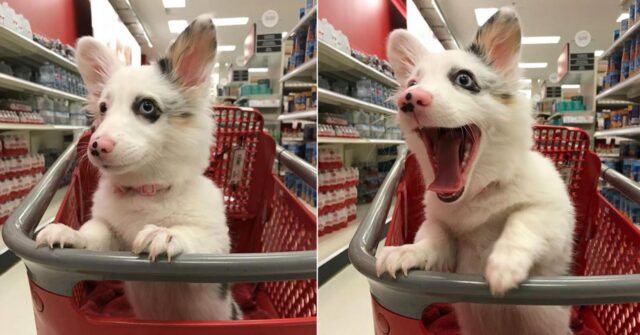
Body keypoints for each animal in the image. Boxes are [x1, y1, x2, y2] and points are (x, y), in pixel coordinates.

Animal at [35, 15, 240, 322]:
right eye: (103, 108)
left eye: (147, 107)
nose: (96, 146)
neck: (146, 191)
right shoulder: (110, 235)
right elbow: (94, 234)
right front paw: (71, 235)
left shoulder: (215, 256)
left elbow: (195, 236)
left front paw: (165, 233)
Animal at [376, 7, 576, 335]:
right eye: (411, 83)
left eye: (464, 79)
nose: (409, 98)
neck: (476, 193)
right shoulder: (441, 235)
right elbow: (433, 237)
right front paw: (408, 251)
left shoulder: (554, 221)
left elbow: (523, 220)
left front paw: (504, 263)